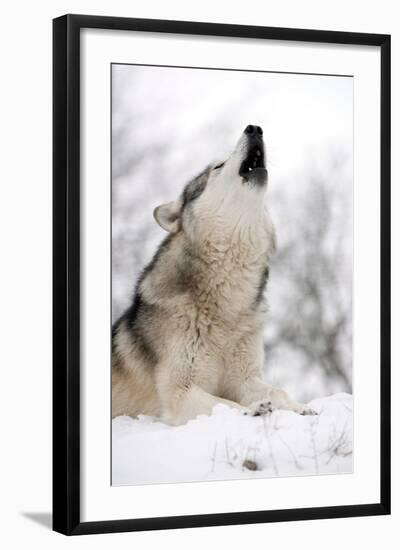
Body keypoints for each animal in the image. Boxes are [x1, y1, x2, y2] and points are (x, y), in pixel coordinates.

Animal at [111, 125, 316, 426]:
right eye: (218, 167)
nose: (254, 128)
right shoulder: (180, 392)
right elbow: (224, 403)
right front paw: (253, 409)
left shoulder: (245, 378)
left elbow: (277, 391)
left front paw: (300, 408)